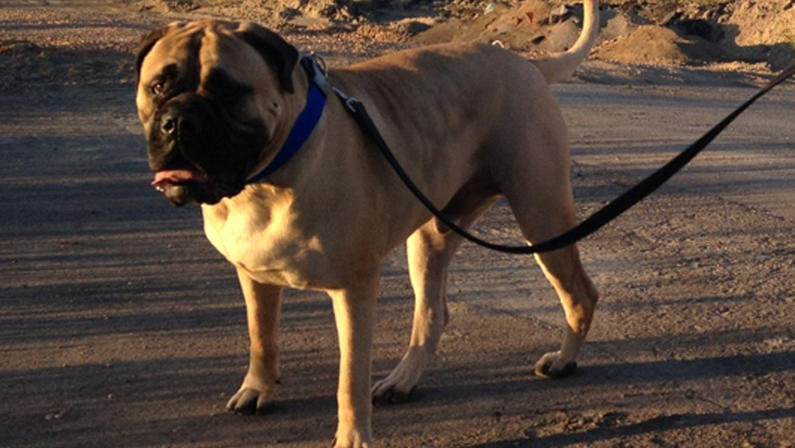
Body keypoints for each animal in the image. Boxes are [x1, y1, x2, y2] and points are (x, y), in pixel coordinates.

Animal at [135, 1, 596, 446]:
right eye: (157, 86)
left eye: (230, 91)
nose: (179, 122)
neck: (266, 180)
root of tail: (526, 64)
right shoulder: (253, 276)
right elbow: (261, 336)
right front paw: (258, 388)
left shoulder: (353, 290)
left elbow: (349, 380)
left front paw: (353, 438)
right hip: (431, 234)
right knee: (433, 313)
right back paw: (403, 380)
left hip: (541, 214)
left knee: (581, 294)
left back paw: (564, 359)